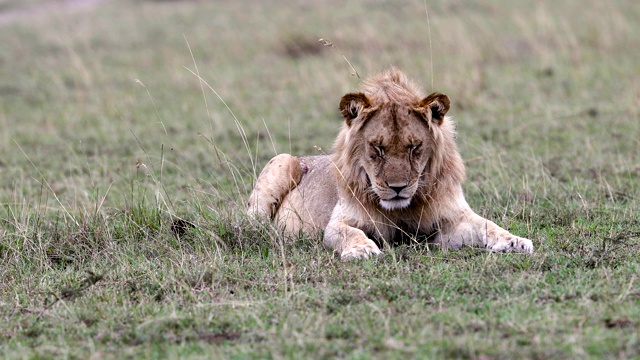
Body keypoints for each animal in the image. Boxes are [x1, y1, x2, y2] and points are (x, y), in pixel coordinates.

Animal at [248, 67, 532, 258]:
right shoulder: (340, 222)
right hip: (282, 161)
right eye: (378, 147)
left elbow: (487, 224)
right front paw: (362, 249)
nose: (398, 188)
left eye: (414, 146)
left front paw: (514, 241)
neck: (401, 209)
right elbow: (349, 232)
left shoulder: (449, 220)